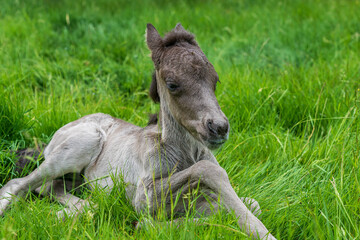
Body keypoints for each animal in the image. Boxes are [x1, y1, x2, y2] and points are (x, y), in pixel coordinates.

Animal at [0, 23, 276, 239]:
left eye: (215, 80)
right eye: (172, 84)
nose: (218, 127)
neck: (182, 154)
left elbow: (251, 205)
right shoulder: (144, 198)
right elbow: (208, 170)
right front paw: (264, 234)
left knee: (52, 187)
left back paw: (78, 211)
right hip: (81, 144)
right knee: (18, 184)